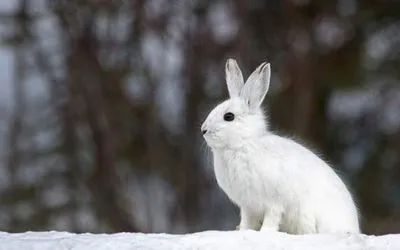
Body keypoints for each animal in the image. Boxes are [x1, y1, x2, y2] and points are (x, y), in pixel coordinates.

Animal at [202, 59, 360, 234]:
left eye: (228, 116)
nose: (203, 130)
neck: (242, 144)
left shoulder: (274, 202)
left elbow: (272, 217)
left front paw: (265, 232)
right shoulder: (248, 207)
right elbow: (247, 222)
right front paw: (242, 231)